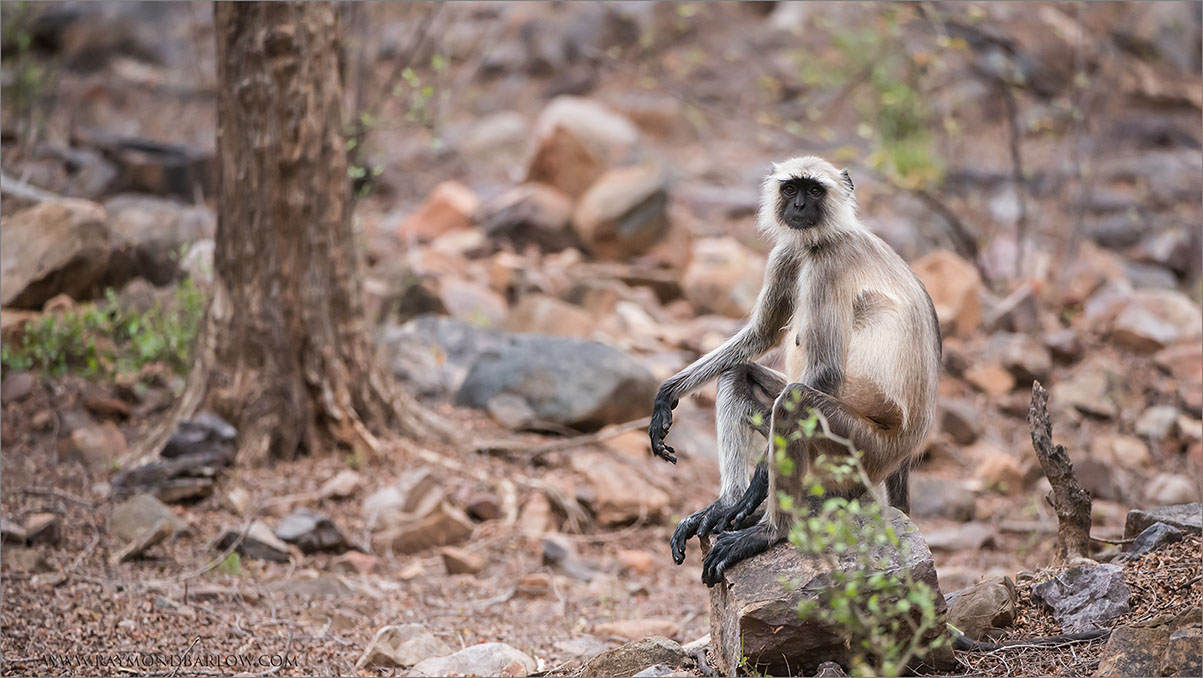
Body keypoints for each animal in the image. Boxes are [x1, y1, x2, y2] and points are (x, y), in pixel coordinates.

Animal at [649, 156, 938, 584]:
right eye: (790, 189)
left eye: (814, 190)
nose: (799, 206)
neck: (821, 239)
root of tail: (904, 452)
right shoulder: (788, 253)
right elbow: (761, 334)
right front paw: (667, 395)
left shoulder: (829, 264)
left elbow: (827, 371)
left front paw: (758, 486)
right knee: (737, 376)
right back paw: (725, 504)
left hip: (865, 450)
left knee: (795, 399)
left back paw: (769, 530)